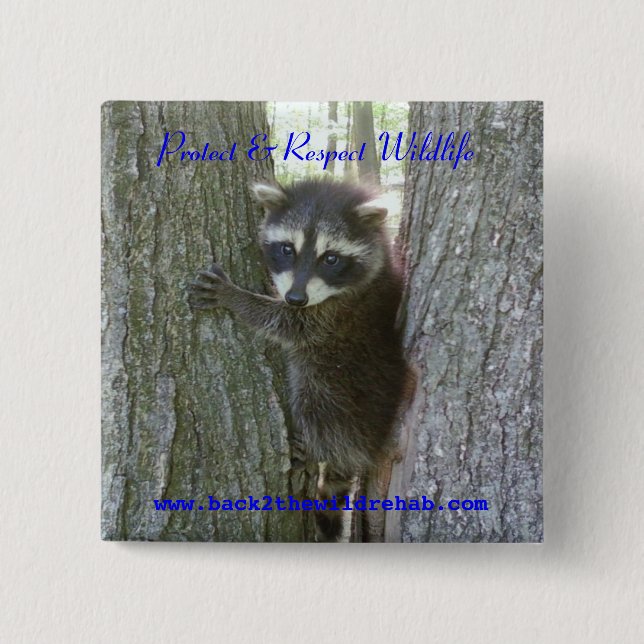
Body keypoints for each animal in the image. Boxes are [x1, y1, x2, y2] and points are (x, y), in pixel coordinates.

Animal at [188, 177, 408, 541]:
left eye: (331, 258)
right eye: (287, 249)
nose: (294, 297)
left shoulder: (337, 313)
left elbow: (289, 324)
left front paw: (238, 298)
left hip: (341, 387)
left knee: (320, 407)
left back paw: (318, 451)